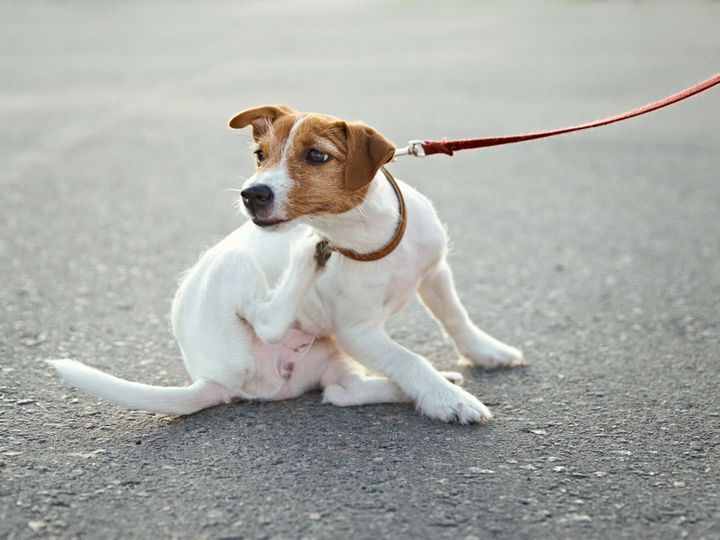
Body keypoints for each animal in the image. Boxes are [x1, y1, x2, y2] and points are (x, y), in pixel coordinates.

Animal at [52, 105, 524, 424]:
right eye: (260, 155)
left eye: (316, 156)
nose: (252, 194)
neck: (368, 240)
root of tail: (208, 377)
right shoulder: (359, 332)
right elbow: (410, 360)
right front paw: (448, 401)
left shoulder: (435, 273)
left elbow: (455, 318)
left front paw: (486, 353)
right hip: (235, 265)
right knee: (268, 322)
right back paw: (307, 255)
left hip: (329, 357)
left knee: (341, 393)